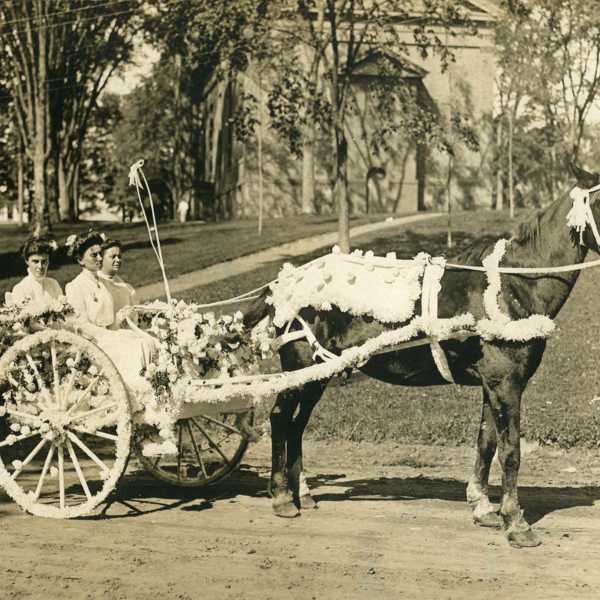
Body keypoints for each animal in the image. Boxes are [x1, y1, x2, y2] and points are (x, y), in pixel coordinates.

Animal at [244, 162, 600, 548]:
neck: (511, 285)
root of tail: (284, 283)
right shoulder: (505, 382)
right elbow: (510, 452)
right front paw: (516, 523)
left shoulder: (494, 385)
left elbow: (487, 442)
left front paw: (482, 506)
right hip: (300, 365)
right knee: (281, 419)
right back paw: (282, 496)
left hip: (320, 372)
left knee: (297, 425)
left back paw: (303, 493)